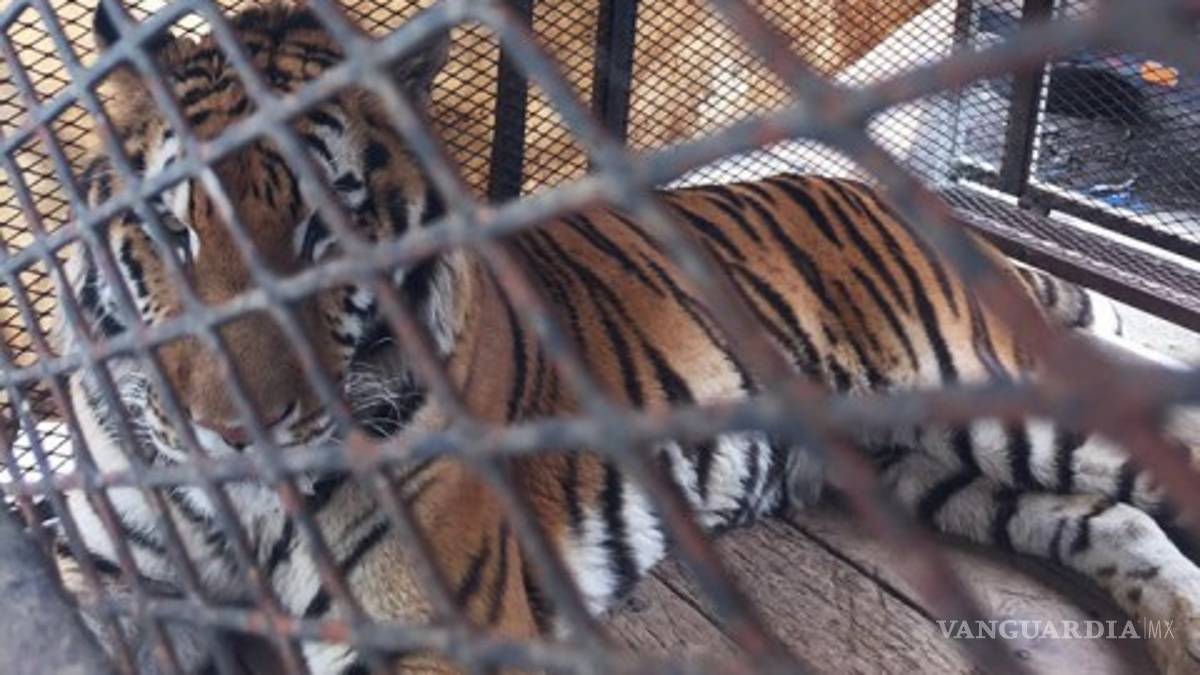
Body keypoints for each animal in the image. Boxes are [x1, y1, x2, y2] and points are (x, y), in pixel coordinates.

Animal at [48, 2, 1200, 674]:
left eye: (327, 231)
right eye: (170, 232)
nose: (237, 434)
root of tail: (897, 197)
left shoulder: (434, 626)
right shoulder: (104, 558)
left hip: (984, 394)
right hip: (921, 467)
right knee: (1109, 519)